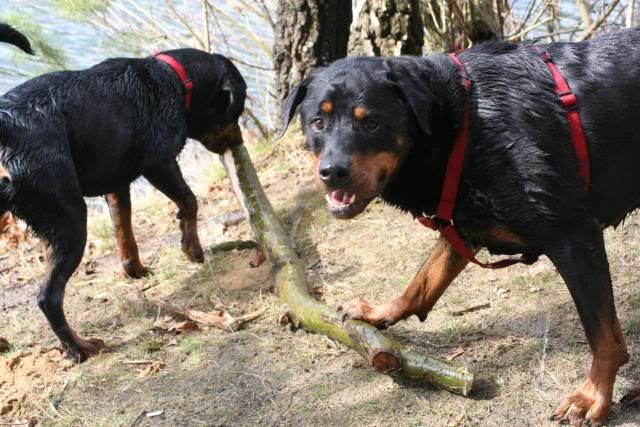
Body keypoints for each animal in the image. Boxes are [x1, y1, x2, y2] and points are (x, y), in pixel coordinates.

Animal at [0, 25, 246, 362]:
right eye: (237, 109)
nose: (239, 141)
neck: (174, 79)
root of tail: (6, 125)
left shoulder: (117, 186)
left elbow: (124, 231)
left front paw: (136, 271)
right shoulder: (159, 163)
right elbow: (190, 202)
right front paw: (192, 249)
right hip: (69, 219)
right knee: (48, 298)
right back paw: (79, 349)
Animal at [282, 28, 640, 426]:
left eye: (371, 122)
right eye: (317, 122)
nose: (332, 172)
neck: (463, 125)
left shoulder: (573, 235)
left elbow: (602, 336)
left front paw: (593, 396)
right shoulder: (463, 225)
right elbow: (423, 280)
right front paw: (380, 313)